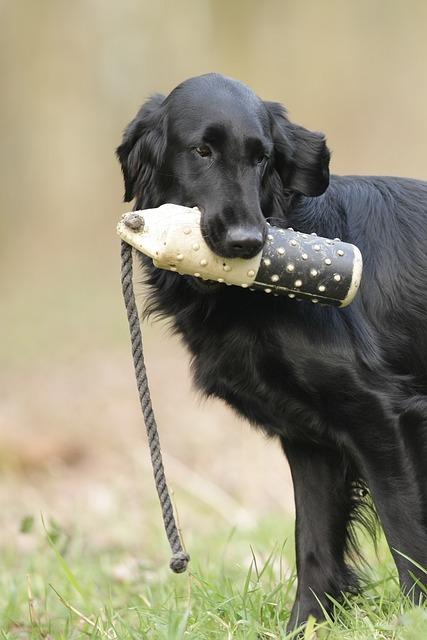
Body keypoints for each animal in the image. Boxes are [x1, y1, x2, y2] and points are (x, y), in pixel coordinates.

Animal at [116, 72, 427, 628]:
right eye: (202, 151)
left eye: (262, 157)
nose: (247, 242)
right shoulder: (312, 442)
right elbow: (314, 543)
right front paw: (305, 626)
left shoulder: (384, 416)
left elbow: (406, 534)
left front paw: (416, 621)